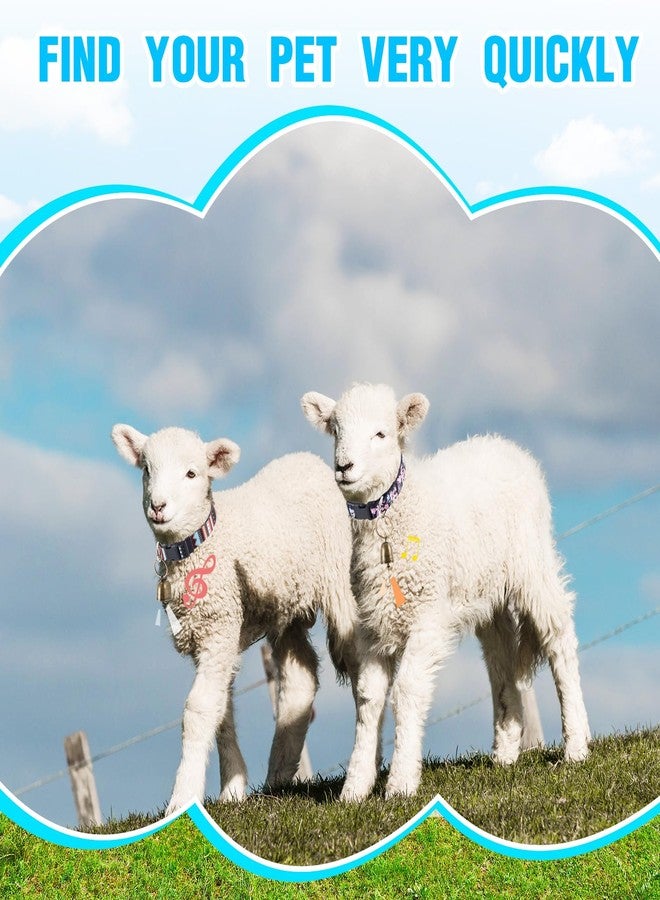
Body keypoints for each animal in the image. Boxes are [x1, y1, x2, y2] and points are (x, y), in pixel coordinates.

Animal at [112, 424, 360, 814]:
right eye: (146, 470)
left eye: (192, 473)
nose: (158, 507)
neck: (204, 542)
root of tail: (308, 460)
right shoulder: (211, 638)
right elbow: (221, 710)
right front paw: (232, 790)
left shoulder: (219, 626)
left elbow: (199, 708)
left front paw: (182, 798)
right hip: (285, 610)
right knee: (300, 678)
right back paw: (278, 775)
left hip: (339, 581)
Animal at [301, 383, 590, 801]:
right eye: (336, 431)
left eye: (381, 434)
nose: (344, 467)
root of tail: (501, 442)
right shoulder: (371, 624)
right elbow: (368, 698)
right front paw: (355, 787)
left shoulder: (427, 617)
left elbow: (406, 692)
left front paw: (401, 783)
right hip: (487, 590)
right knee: (500, 656)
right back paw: (506, 748)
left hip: (531, 562)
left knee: (558, 637)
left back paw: (576, 745)